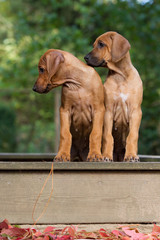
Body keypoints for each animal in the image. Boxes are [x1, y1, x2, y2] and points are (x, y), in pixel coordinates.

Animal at [84, 31, 143, 161]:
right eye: (94, 45)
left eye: (101, 44)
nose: (85, 57)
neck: (120, 76)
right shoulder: (108, 111)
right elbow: (107, 136)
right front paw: (106, 155)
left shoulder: (135, 111)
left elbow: (132, 135)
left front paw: (131, 155)